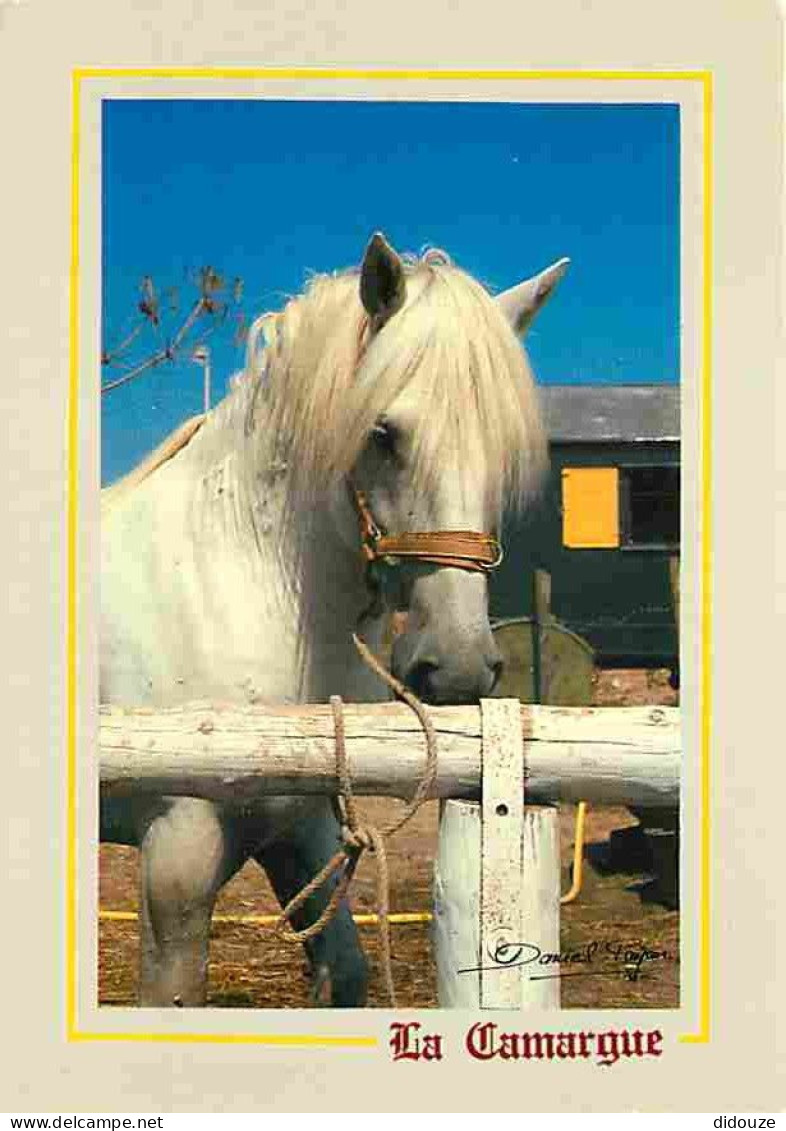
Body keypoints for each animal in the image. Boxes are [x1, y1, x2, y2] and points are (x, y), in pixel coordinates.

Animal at [101, 231, 567, 1008]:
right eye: (383, 432)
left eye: (502, 451)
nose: (459, 666)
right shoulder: (177, 853)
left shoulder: (305, 830)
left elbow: (345, 969)